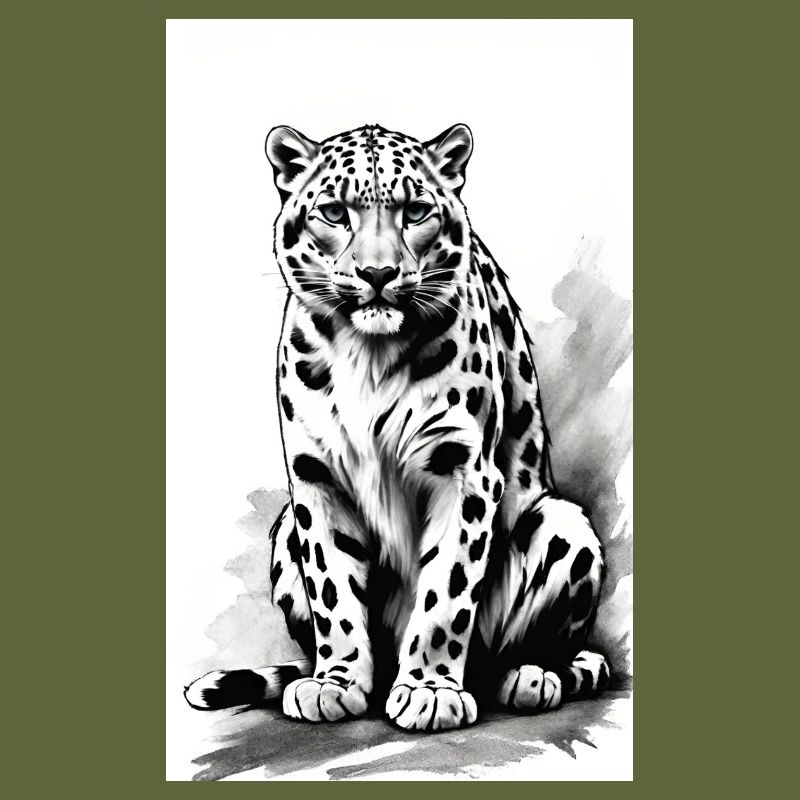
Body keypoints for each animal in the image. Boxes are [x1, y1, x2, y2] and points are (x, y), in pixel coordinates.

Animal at [184, 123, 610, 731]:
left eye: (415, 211)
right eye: (334, 212)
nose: (378, 273)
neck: (369, 356)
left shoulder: (464, 470)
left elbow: (446, 591)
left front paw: (430, 691)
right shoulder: (316, 478)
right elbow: (333, 587)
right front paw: (336, 683)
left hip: (562, 523)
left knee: (539, 646)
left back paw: (529, 676)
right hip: (286, 526)